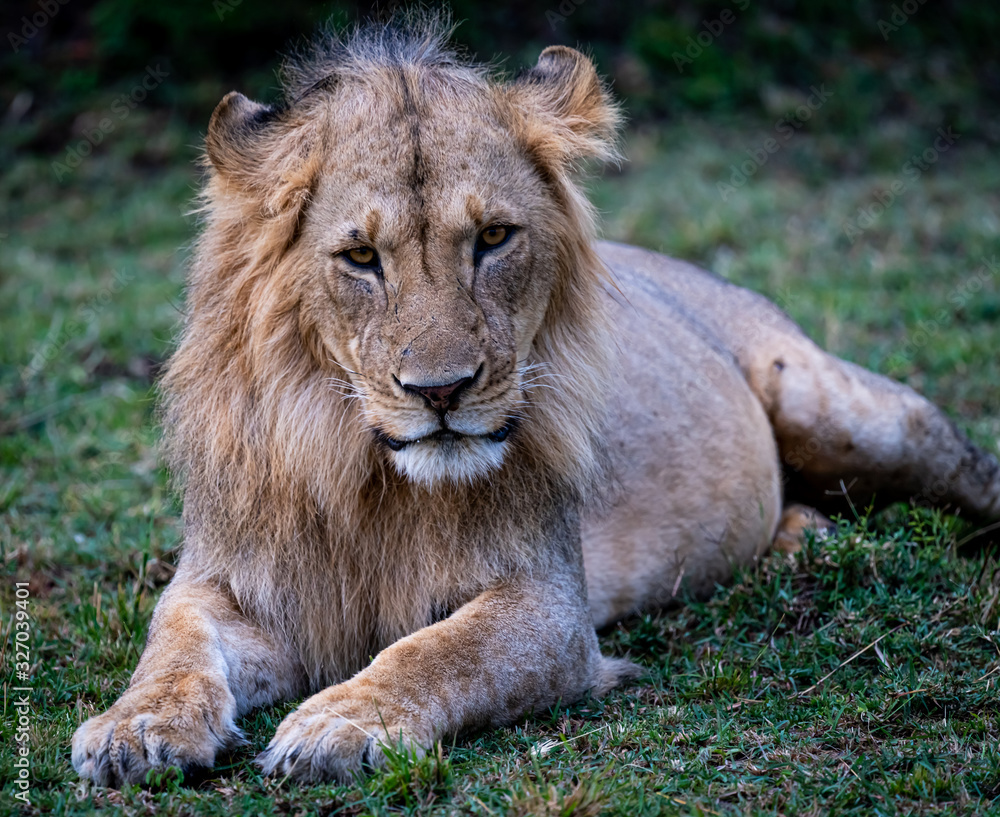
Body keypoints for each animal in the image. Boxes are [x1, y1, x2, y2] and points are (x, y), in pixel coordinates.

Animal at [72, 17, 1000, 786]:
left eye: (493, 238)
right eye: (361, 256)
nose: (441, 390)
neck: (366, 476)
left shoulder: (551, 607)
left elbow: (436, 651)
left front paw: (341, 722)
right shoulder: (229, 579)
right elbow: (173, 642)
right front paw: (134, 726)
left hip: (843, 408)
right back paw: (804, 544)